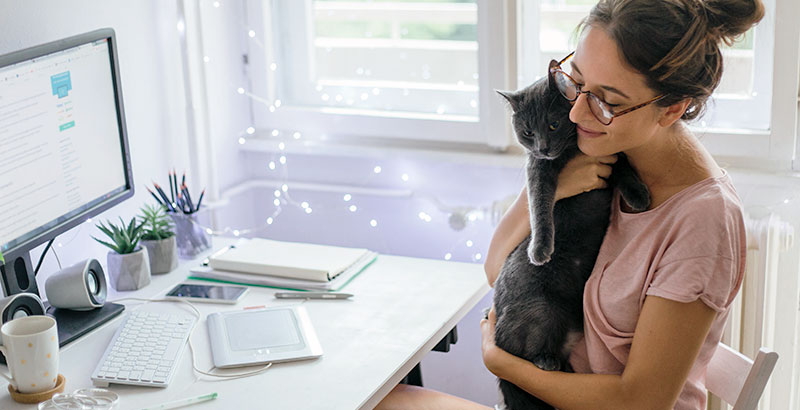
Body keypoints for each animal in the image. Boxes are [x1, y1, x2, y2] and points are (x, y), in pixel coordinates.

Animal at [490, 61, 652, 410]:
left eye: (553, 125)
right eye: (528, 132)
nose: (542, 147)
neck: (572, 151)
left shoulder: (610, 157)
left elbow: (625, 168)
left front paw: (638, 196)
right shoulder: (538, 169)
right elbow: (539, 205)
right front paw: (540, 249)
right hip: (541, 310)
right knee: (522, 356)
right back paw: (546, 361)